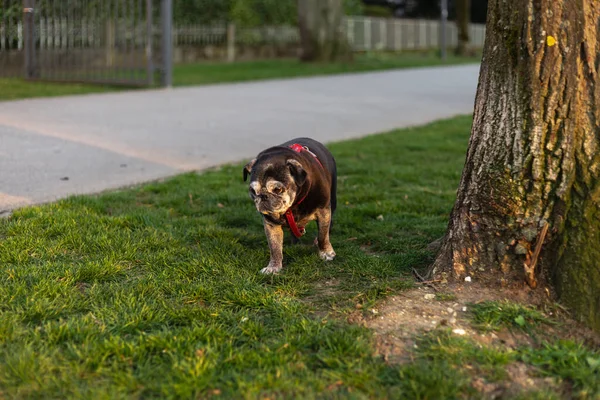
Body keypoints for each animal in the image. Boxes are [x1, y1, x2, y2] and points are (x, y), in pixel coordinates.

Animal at [244, 138, 338, 276]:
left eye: (277, 189)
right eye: (252, 191)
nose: (263, 196)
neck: (292, 206)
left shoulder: (323, 211)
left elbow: (322, 235)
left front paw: (326, 252)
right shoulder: (271, 225)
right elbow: (274, 247)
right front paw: (273, 266)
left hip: (332, 201)